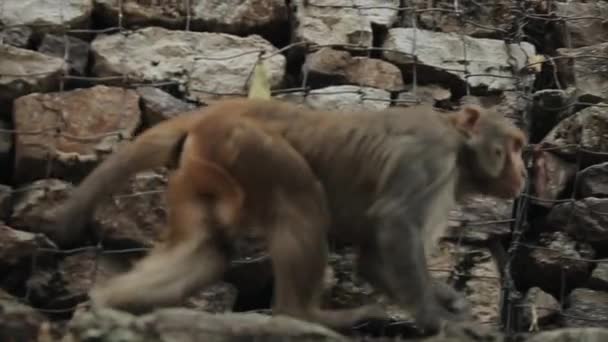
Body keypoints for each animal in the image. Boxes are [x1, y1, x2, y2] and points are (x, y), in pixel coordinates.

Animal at [38, 98, 524, 334]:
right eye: (514, 146)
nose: (522, 172)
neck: (458, 145)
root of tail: (218, 110)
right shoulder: (430, 158)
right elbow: (392, 226)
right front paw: (436, 317)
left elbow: (373, 256)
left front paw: (449, 301)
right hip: (247, 145)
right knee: (300, 197)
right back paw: (304, 315)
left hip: (202, 164)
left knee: (208, 249)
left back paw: (108, 306)